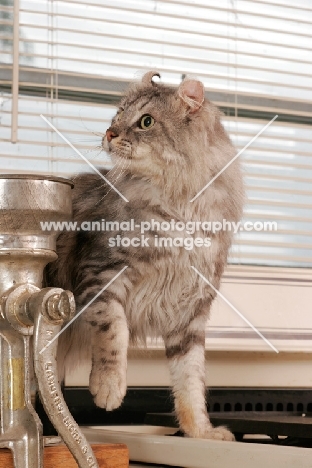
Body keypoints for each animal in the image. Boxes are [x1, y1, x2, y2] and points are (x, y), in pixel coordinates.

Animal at [45, 69, 244, 438]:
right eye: (118, 115)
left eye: (146, 122)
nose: (110, 132)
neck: (181, 207)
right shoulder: (102, 273)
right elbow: (114, 331)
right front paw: (108, 388)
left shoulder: (190, 313)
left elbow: (190, 381)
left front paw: (201, 432)